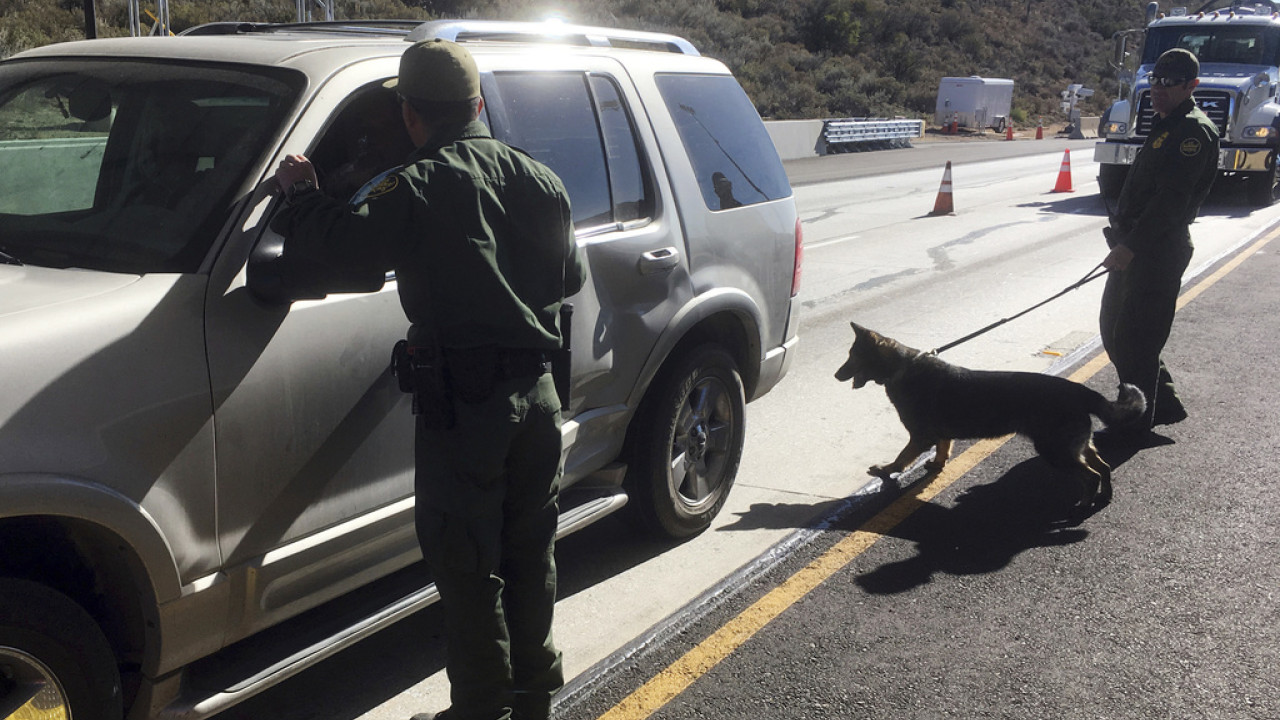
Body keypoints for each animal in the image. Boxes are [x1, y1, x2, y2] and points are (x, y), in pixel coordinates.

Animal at [834, 322, 1146, 507]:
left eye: (851, 355)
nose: (836, 375)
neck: (902, 367)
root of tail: (1080, 391)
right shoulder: (939, 436)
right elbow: (942, 450)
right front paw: (936, 466)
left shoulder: (919, 437)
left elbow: (901, 459)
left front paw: (885, 470)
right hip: (1078, 447)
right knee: (1103, 467)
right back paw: (1104, 496)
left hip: (1056, 451)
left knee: (1090, 476)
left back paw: (1083, 503)